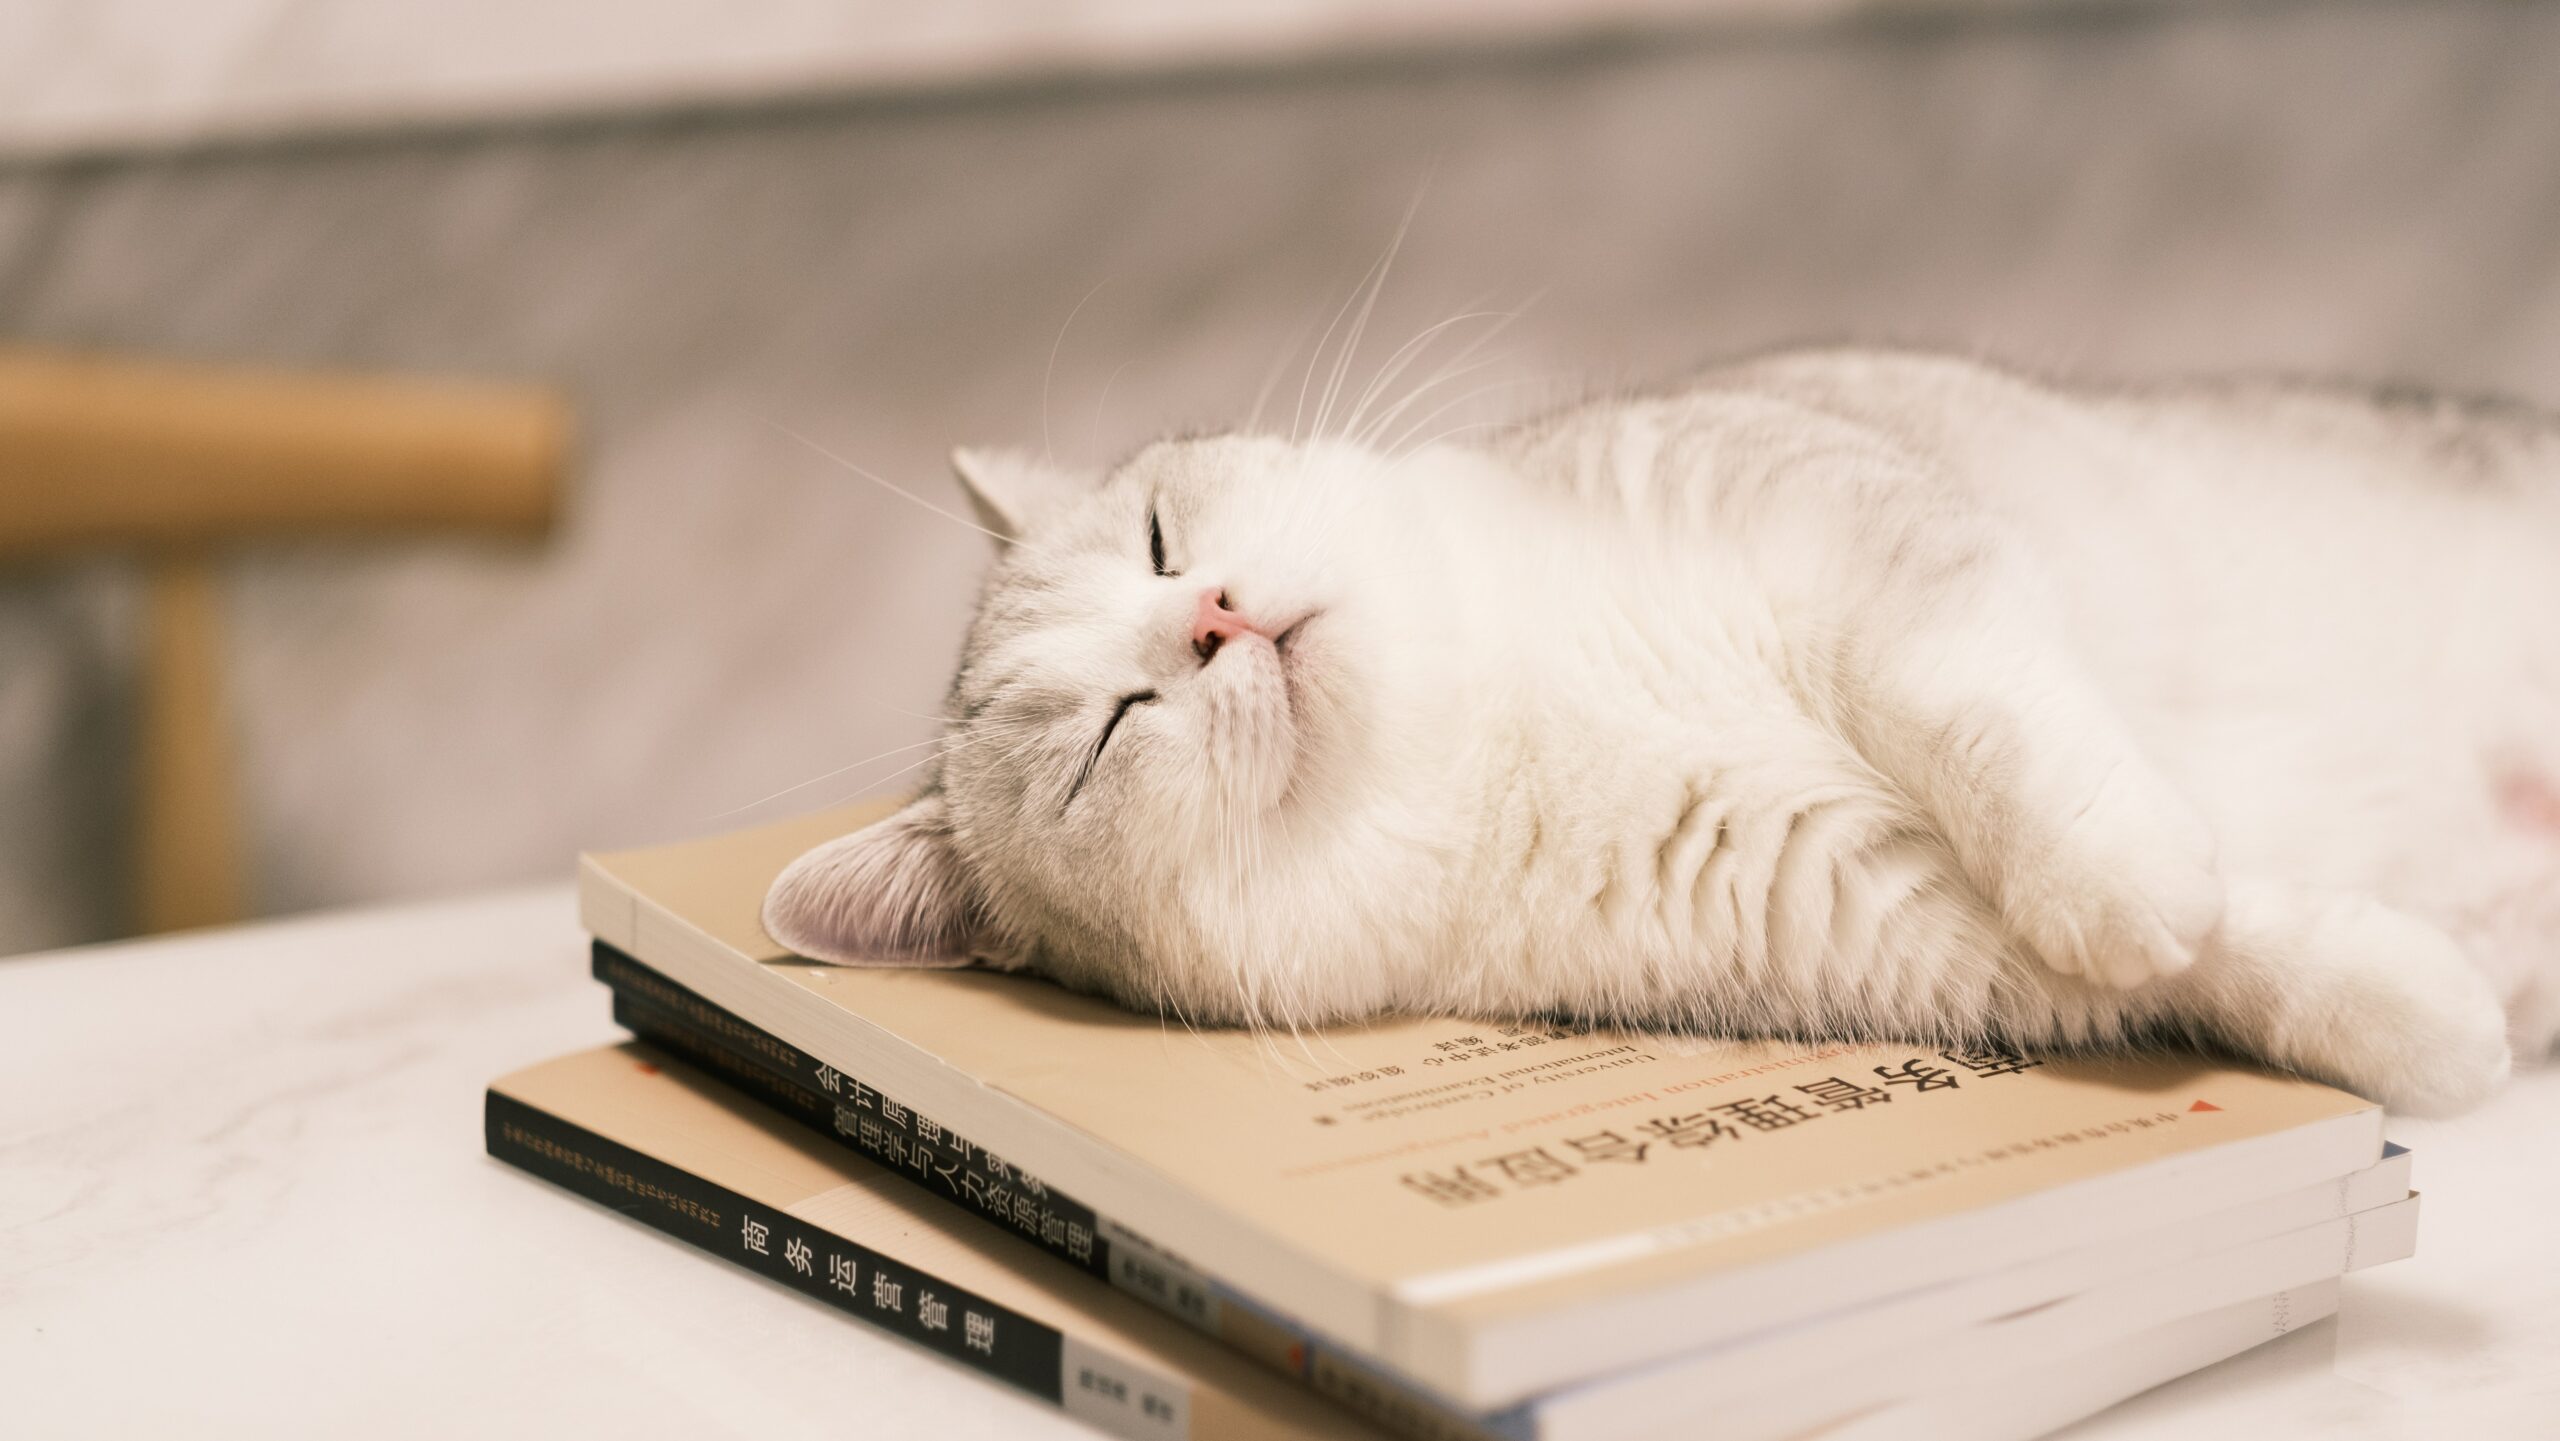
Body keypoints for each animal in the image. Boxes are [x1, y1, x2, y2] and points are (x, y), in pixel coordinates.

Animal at [762, 350, 2560, 1115]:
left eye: (1154, 534)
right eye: (1107, 734)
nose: (1212, 617)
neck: (1496, 715)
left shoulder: (1846, 529)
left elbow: (1987, 715)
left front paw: (2112, 863)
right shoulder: (1888, 912)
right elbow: (2221, 955)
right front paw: (2426, 1021)